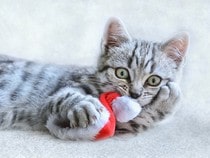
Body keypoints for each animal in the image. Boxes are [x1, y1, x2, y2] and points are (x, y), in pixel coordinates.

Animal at [0, 17, 189, 139]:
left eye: (153, 80)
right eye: (122, 73)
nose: (134, 94)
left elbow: (141, 118)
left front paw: (167, 101)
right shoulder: (53, 103)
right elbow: (66, 96)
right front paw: (84, 105)